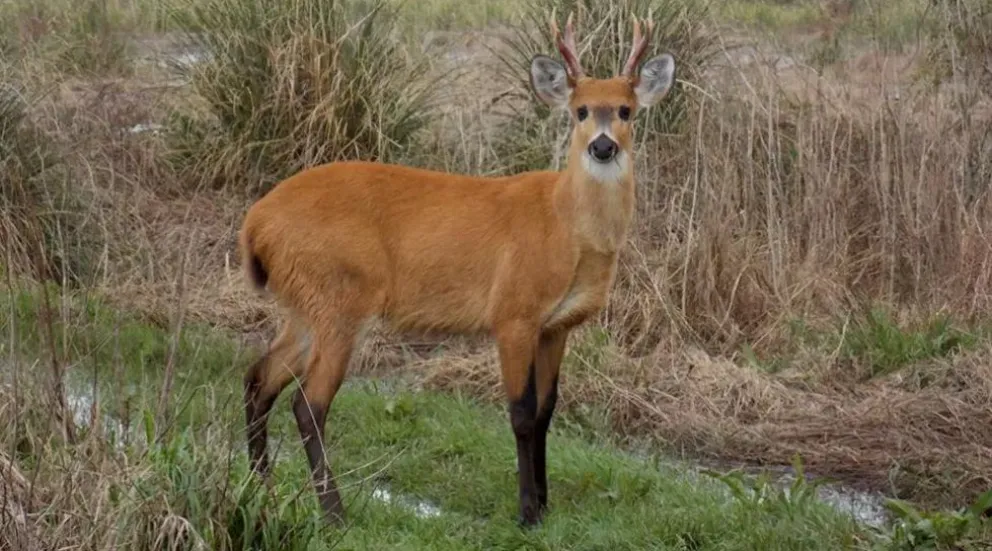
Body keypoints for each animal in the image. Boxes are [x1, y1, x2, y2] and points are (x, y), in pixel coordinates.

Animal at [239, 13, 676, 527]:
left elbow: (547, 411)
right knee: (309, 403)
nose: (603, 147)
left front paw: (545, 502)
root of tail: (255, 222)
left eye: (626, 111)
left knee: (258, 379)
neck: (565, 227)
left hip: (304, 305)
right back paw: (334, 514)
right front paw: (528, 513)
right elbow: (521, 412)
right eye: (580, 110)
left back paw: (260, 488)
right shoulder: (513, 312)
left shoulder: (557, 325)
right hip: (339, 297)